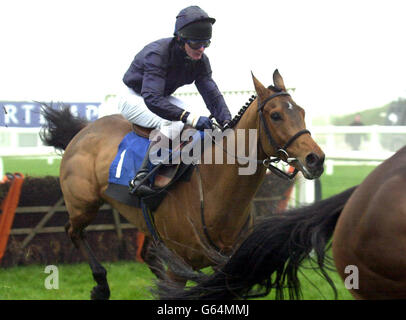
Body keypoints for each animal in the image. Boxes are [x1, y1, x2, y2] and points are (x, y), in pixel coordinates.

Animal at [38, 69, 324, 298]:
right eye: (276, 115)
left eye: (301, 112)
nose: (316, 159)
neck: (214, 188)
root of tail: (83, 130)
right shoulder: (179, 268)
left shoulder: (226, 265)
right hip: (83, 204)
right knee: (73, 231)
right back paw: (100, 284)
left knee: (147, 255)